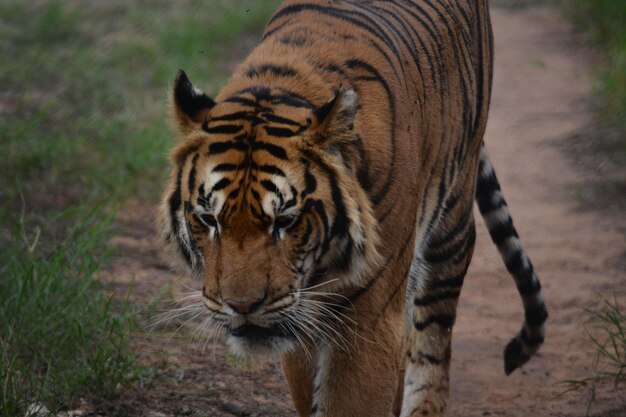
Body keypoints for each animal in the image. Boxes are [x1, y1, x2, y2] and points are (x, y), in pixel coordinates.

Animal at [157, 0, 544, 414]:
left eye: (285, 221)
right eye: (208, 219)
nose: (242, 307)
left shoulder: (368, 317)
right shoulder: (301, 318)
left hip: (450, 226)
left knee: (432, 346)